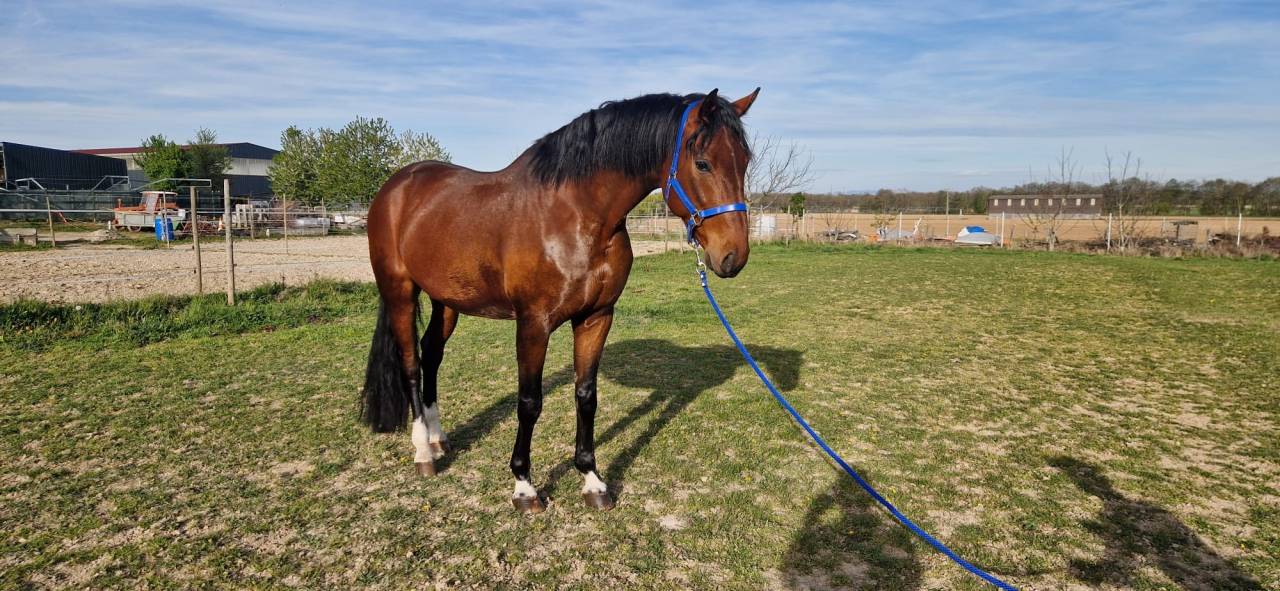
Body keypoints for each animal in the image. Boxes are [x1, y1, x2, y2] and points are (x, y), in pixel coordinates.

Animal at [361, 88, 760, 513]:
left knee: (431, 354)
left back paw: (439, 440)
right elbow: (529, 402)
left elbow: (586, 396)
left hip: (447, 299)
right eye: (702, 163)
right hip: (400, 292)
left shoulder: (596, 317)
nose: (733, 256)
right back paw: (423, 452)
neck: (575, 217)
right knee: (411, 365)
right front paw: (524, 487)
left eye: (744, 161)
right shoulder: (533, 324)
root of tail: (397, 186)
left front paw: (592, 480)